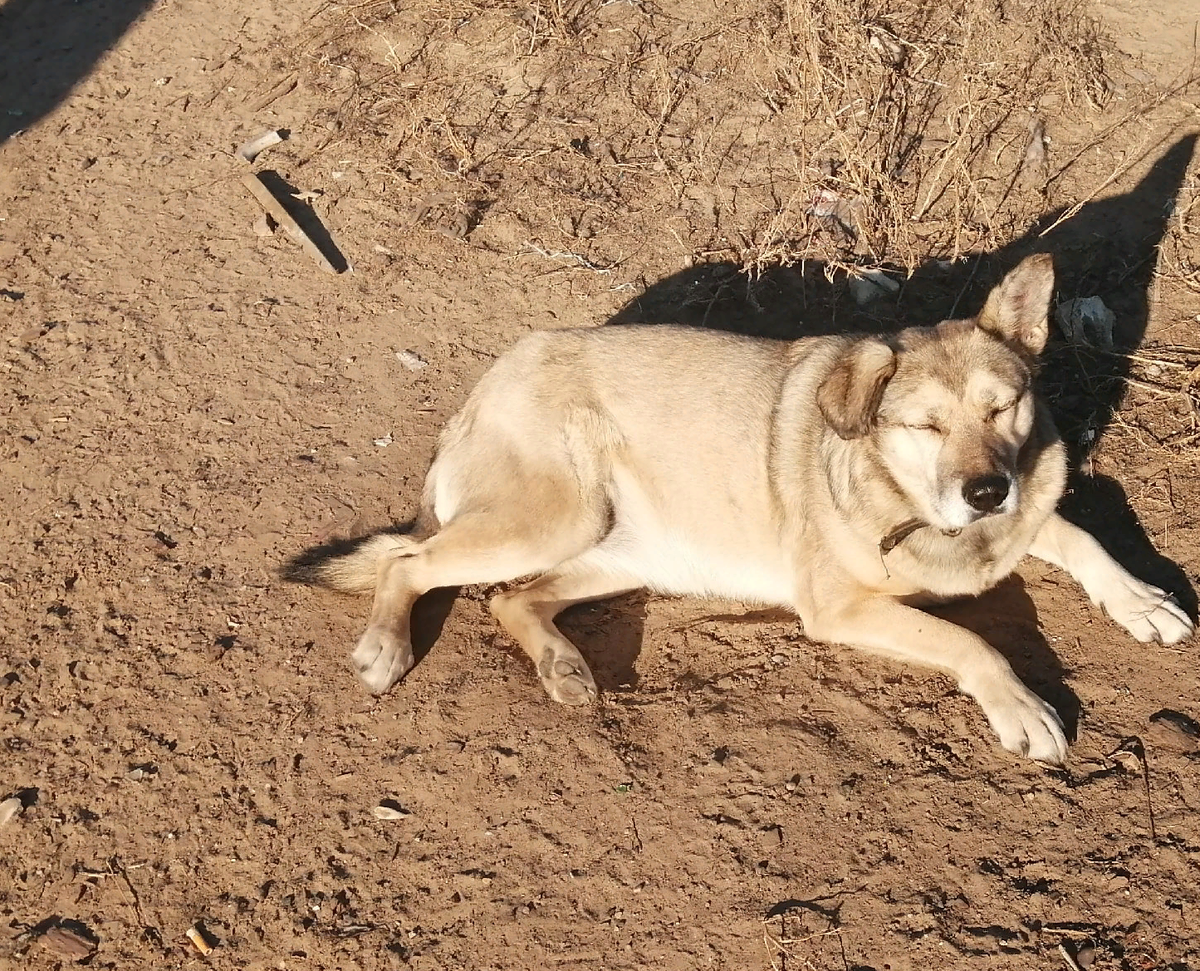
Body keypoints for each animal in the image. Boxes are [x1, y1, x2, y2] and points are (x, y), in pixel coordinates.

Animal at [283, 253, 1190, 763]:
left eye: (1003, 407)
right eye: (925, 426)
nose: (987, 490)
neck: (911, 502)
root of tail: (485, 384)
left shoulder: (1021, 510)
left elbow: (1078, 535)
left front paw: (1141, 600)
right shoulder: (842, 609)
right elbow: (974, 640)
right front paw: (1023, 707)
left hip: (624, 553)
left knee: (513, 597)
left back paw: (561, 664)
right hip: (553, 519)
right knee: (410, 561)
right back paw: (386, 645)